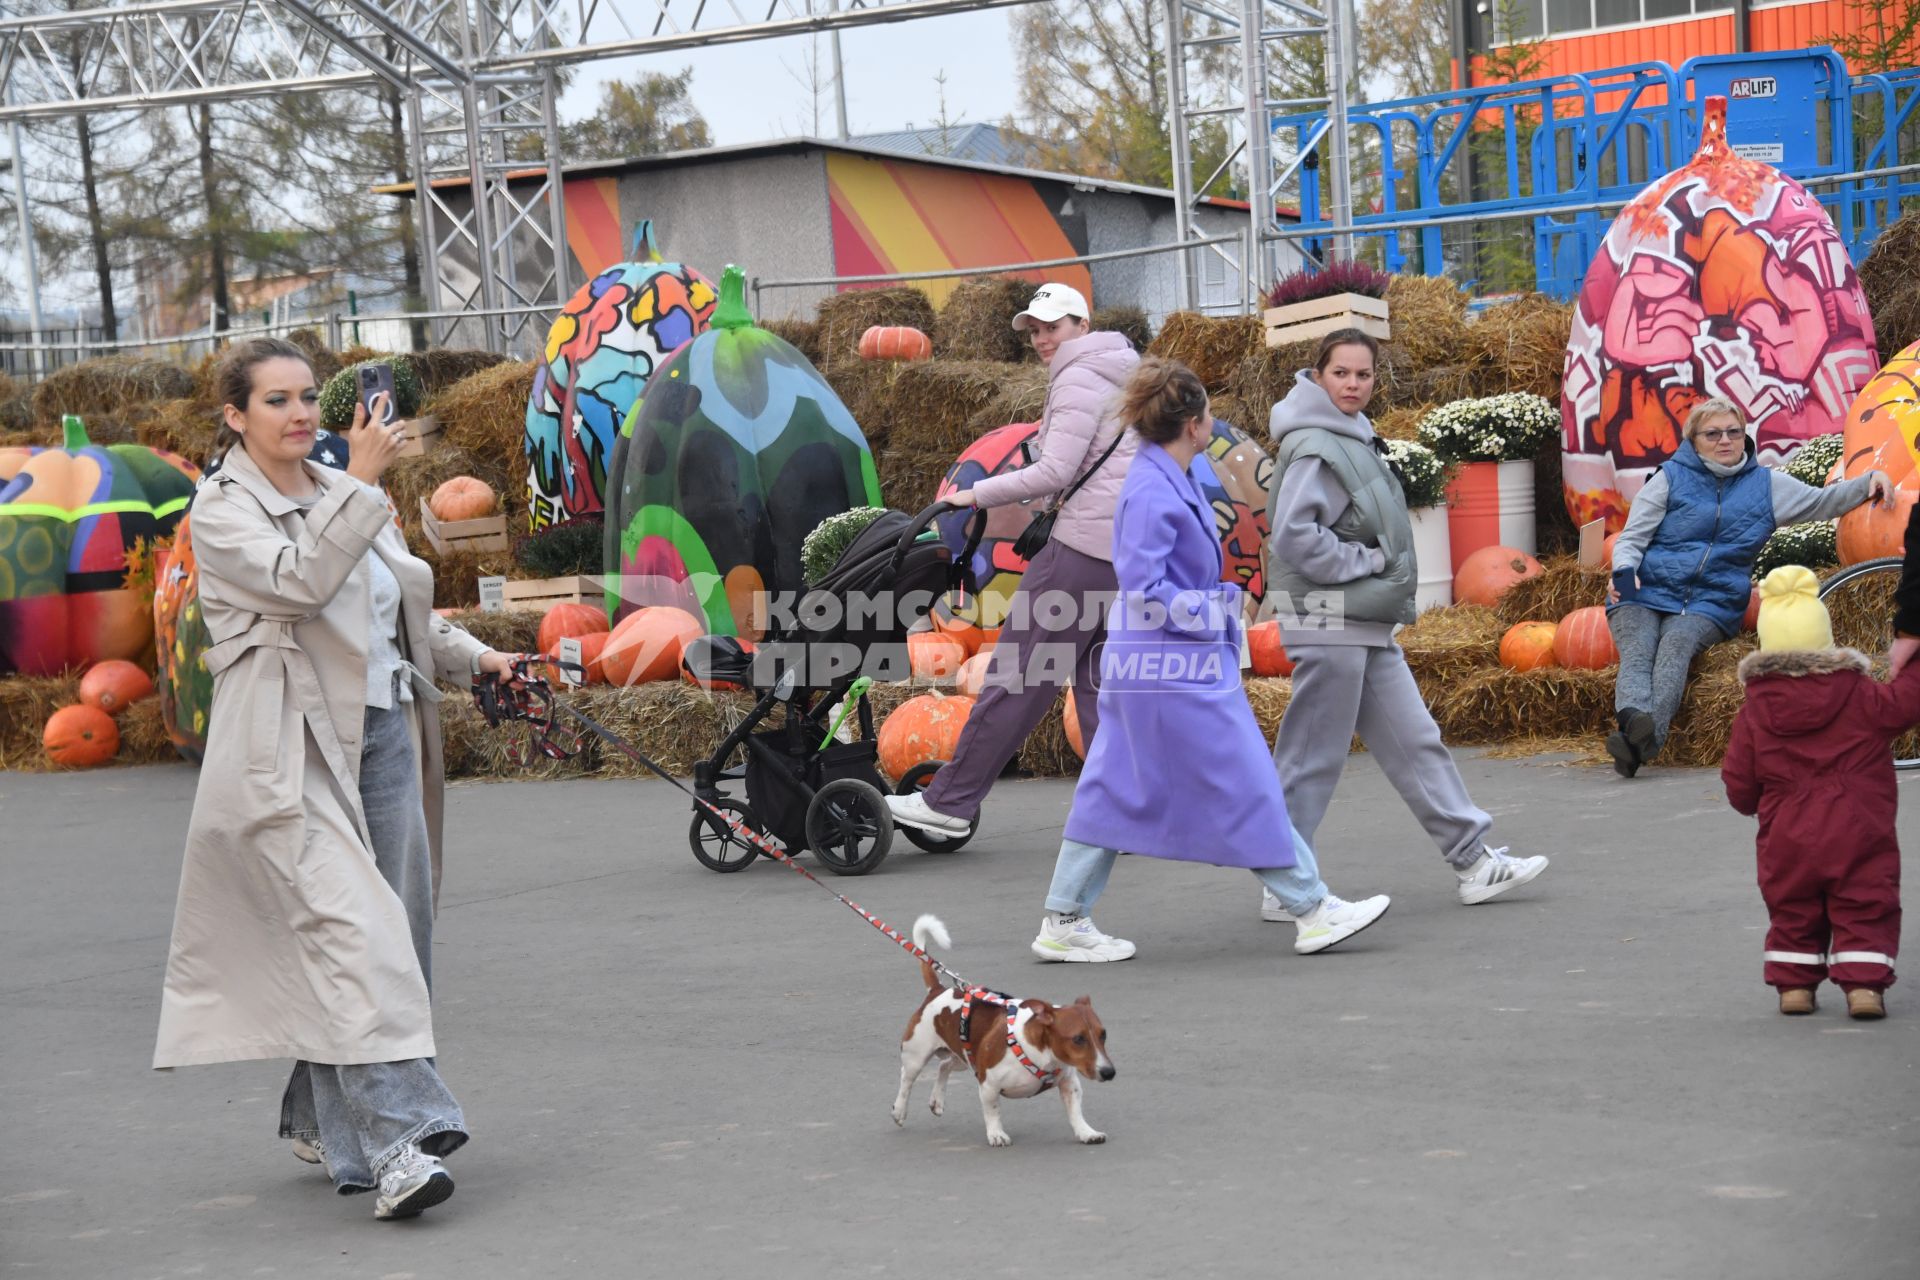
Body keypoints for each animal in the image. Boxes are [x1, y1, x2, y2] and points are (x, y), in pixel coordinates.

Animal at [894, 917, 1121, 1143]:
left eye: (1103, 1035)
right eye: (1078, 1039)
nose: (1109, 1072)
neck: (1041, 1055)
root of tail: (937, 991)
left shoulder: (1069, 1084)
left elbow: (1075, 1112)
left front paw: (1087, 1132)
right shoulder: (988, 1085)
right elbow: (992, 1111)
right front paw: (996, 1134)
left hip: (963, 1055)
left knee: (944, 1066)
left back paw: (937, 1101)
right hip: (916, 1056)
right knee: (906, 1079)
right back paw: (899, 1110)